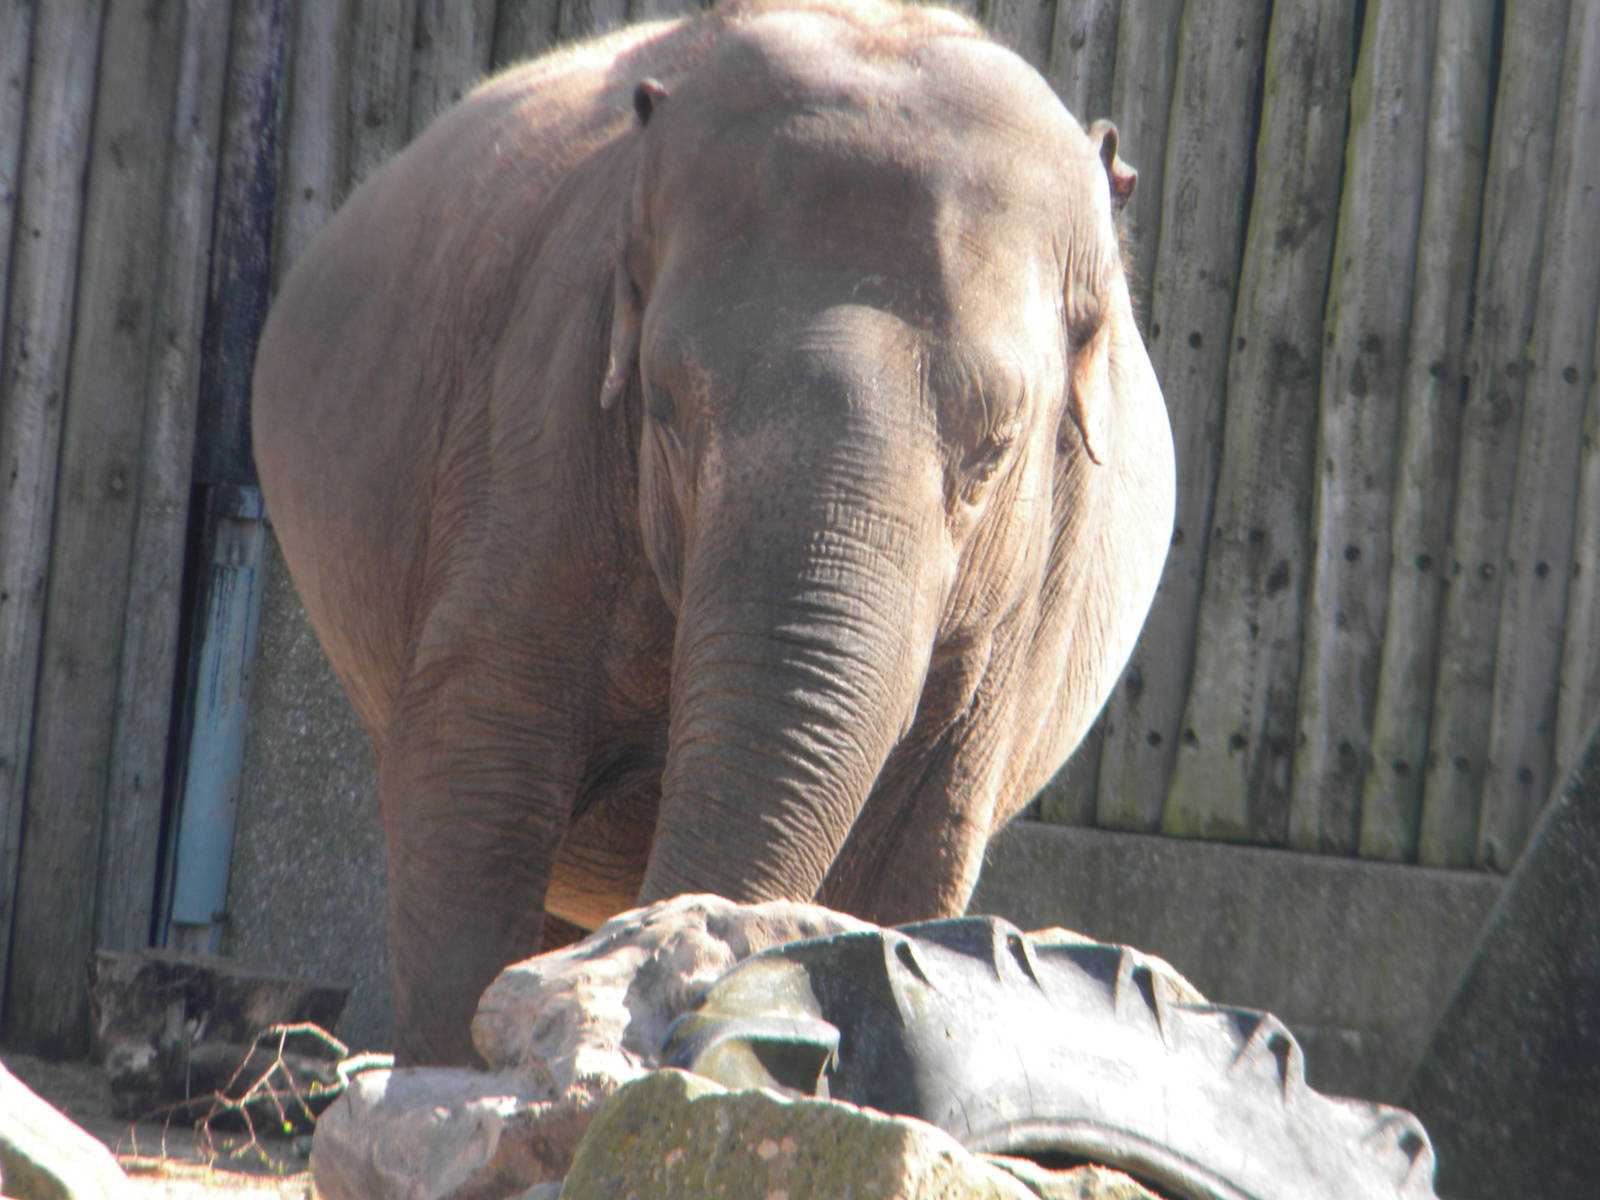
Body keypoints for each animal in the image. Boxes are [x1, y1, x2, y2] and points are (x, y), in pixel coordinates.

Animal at [252, 0, 1175, 1066]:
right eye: (664, 406)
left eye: (994, 451)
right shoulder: (534, 429)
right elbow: (472, 780)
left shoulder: (1031, 605)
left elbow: (915, 860)